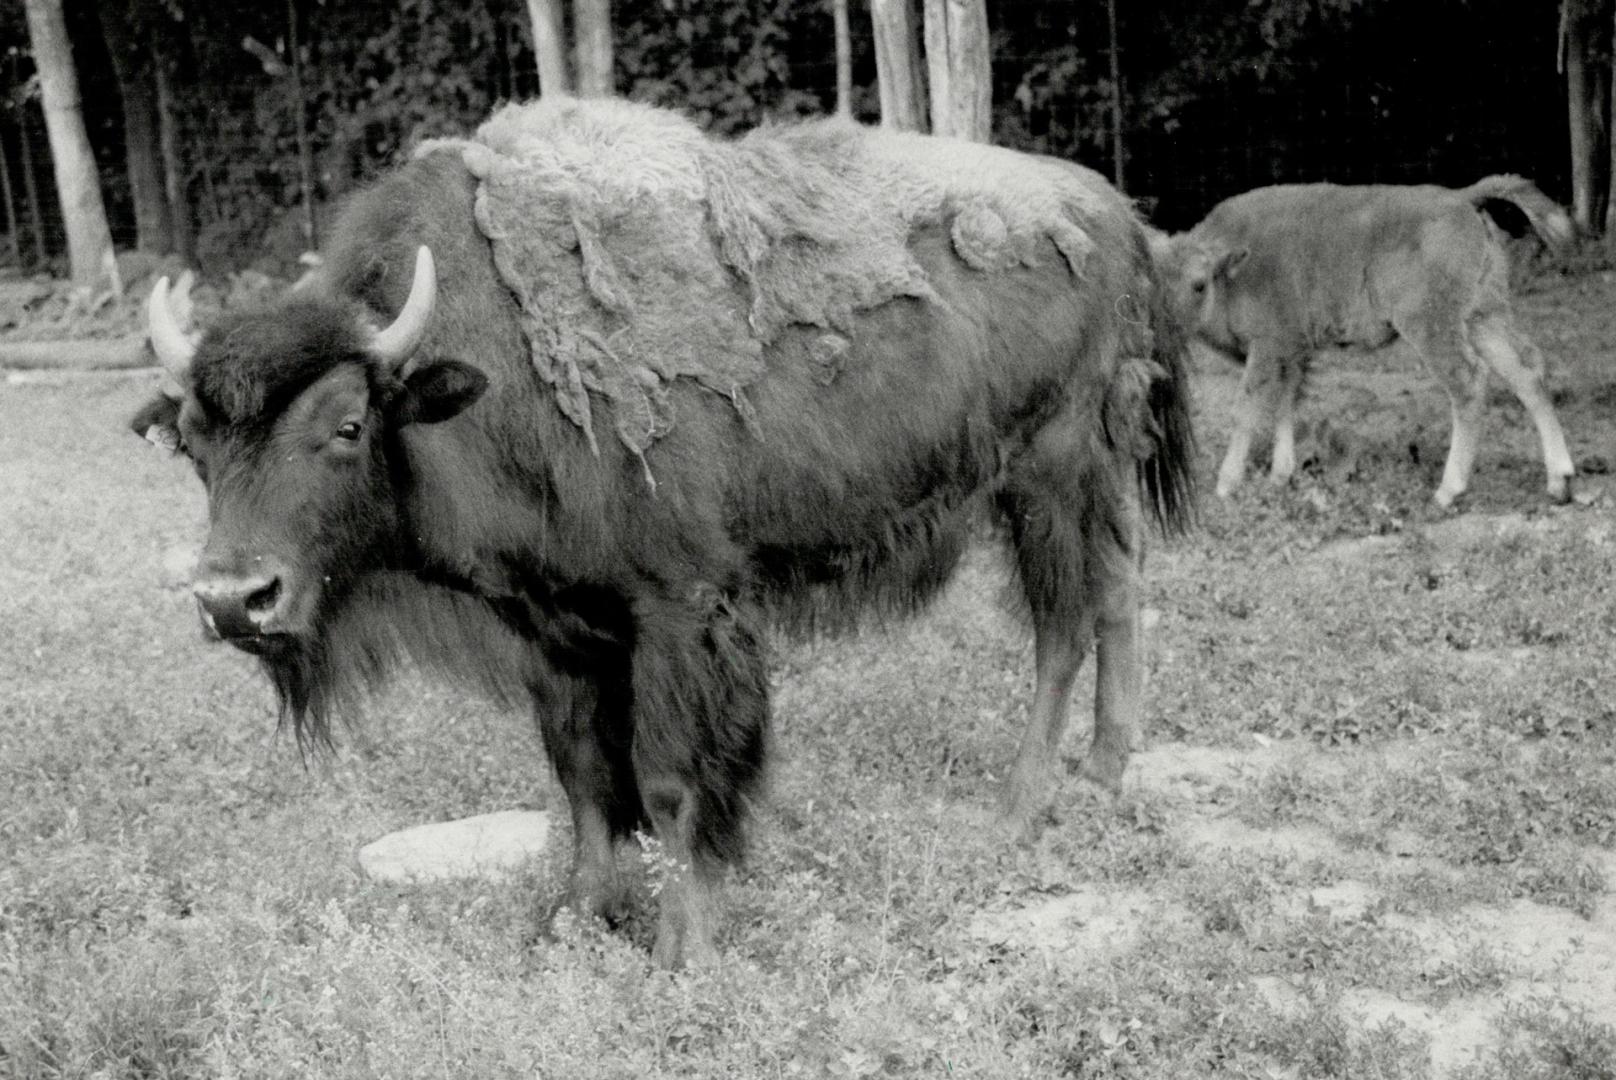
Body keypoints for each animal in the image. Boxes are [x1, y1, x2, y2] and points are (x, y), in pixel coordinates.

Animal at [130, 98, 1194, 968]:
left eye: (347, 425)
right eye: (192, 443)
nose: (234, 599)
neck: (478, 377)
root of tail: (1114, 211)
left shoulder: (680, 613)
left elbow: (673, 780)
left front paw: (683, 950)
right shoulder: (556, 632)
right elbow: (585, 781)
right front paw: (576, 919)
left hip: (1049, 476)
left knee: (1065, 625)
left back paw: (1019, 807)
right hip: (1087, 480)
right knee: (1121, 593)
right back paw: (1104, 774)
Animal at [1158, 176, 1576, 507]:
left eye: (1199, 284)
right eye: (1155, 281)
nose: (1166, 325)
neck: (1236, 267)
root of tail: (1461, 198)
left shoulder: (1267, 348)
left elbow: (1247, 408)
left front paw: (1227, 484)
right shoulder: (1292, 353)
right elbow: (1286, 404)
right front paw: (1281, 475)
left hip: (1432, 326)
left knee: (1468, 382)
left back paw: (1448, 491)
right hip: (1482, 316)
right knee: (1526, 372)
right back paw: (1560, 482)